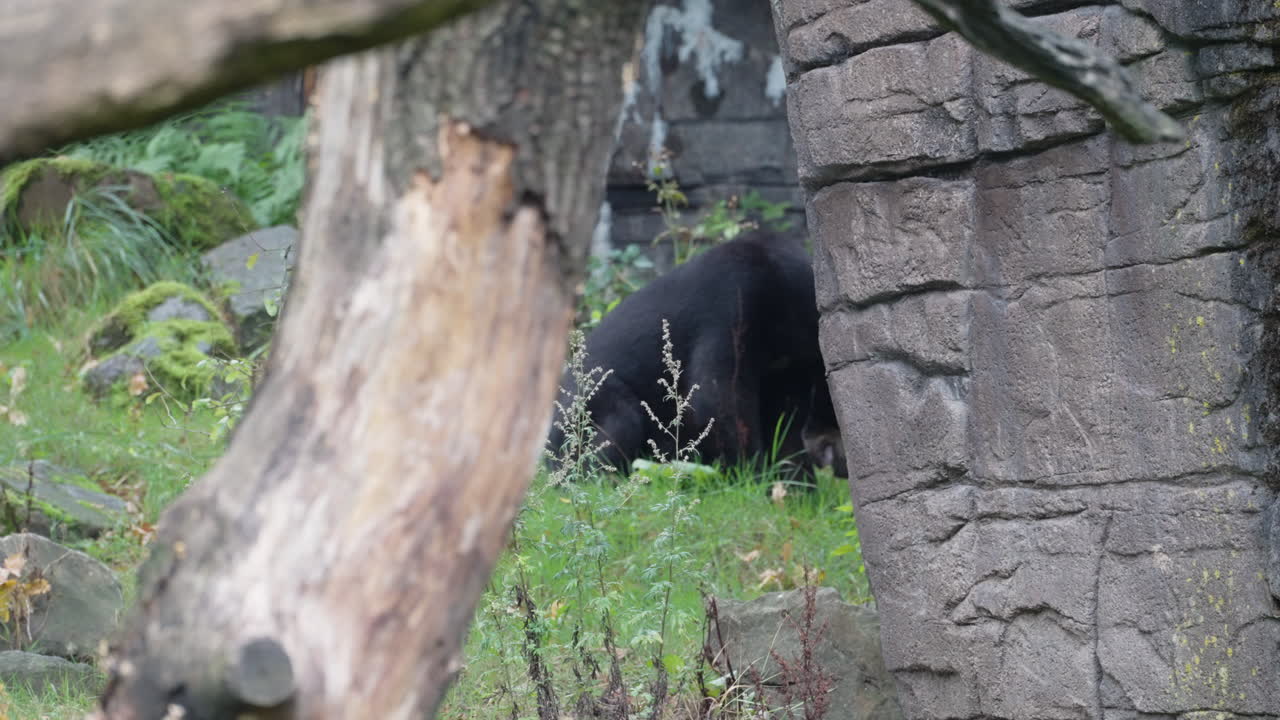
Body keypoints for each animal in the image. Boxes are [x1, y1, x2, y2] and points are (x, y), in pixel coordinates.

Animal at [547, 229, 846, 481]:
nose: (841, 466)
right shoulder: (735, 307)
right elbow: (717, 398)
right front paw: (752, 477)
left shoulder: (790, 366)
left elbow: (785, 419)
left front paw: (796, 486)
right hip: (588, 405)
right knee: (618, 423)